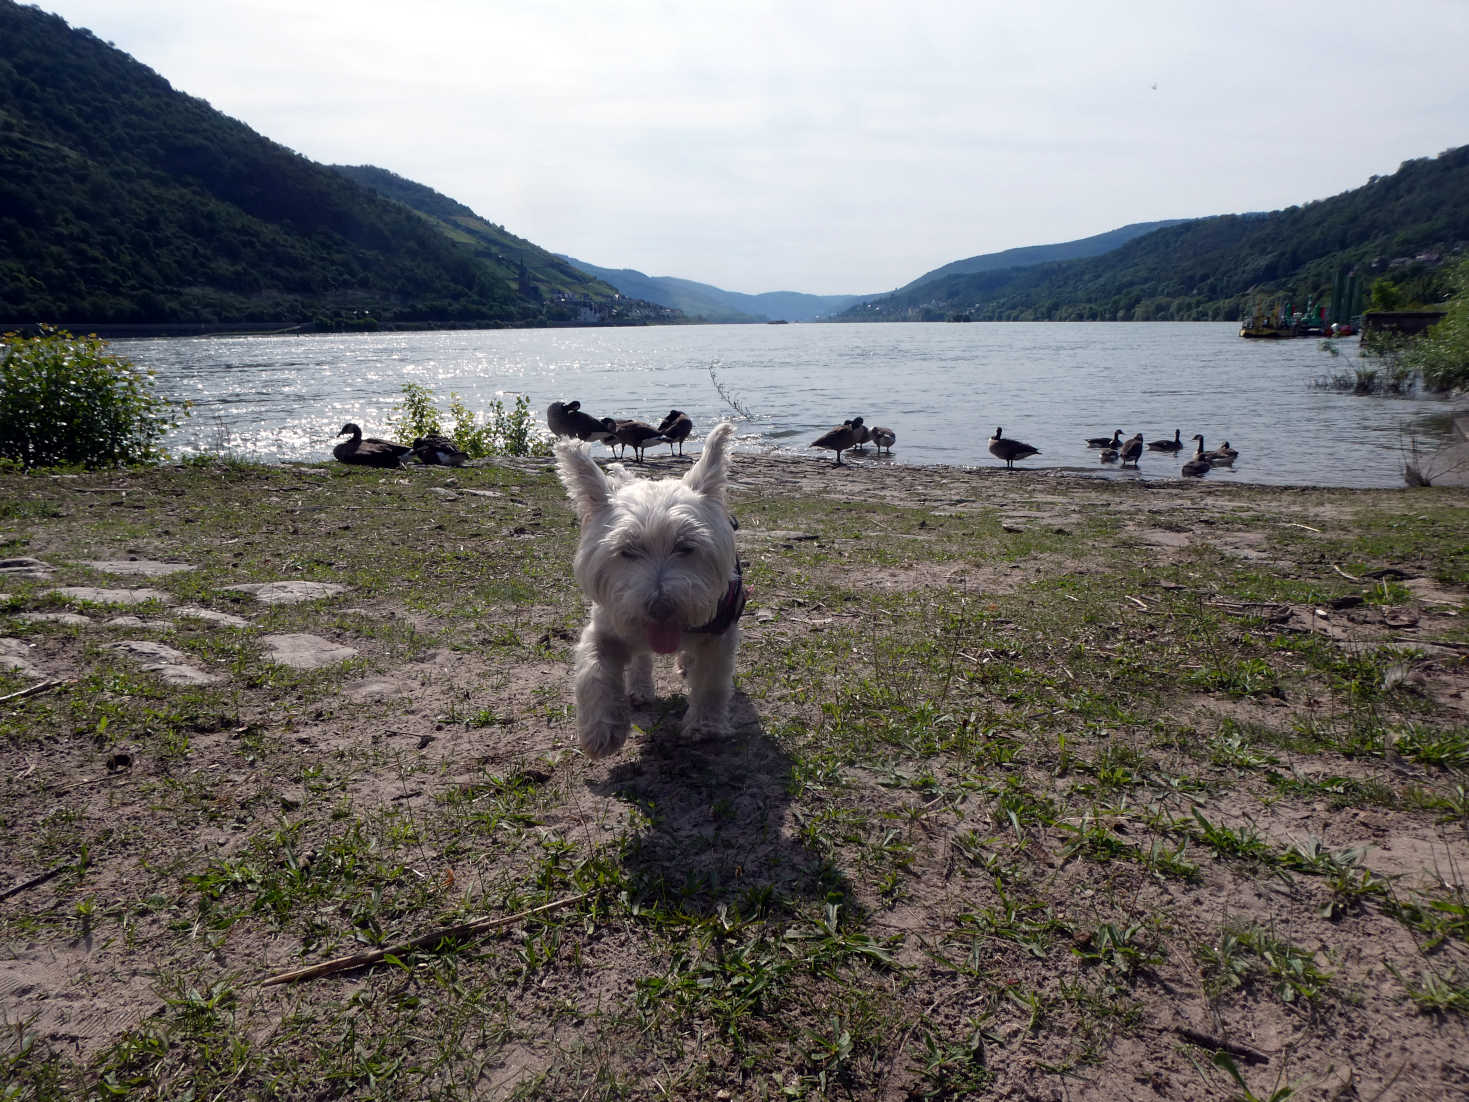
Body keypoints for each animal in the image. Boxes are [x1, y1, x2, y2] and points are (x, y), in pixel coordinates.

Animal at [558, 423, 752, 758]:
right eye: (627, 551)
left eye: (686, 546)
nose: (660, 608)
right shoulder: (607, 627)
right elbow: (594, 670)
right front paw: (601, 729)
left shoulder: (719, 636)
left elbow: (711, 681)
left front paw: (705, 726)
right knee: (640, 658)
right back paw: (639, 689)